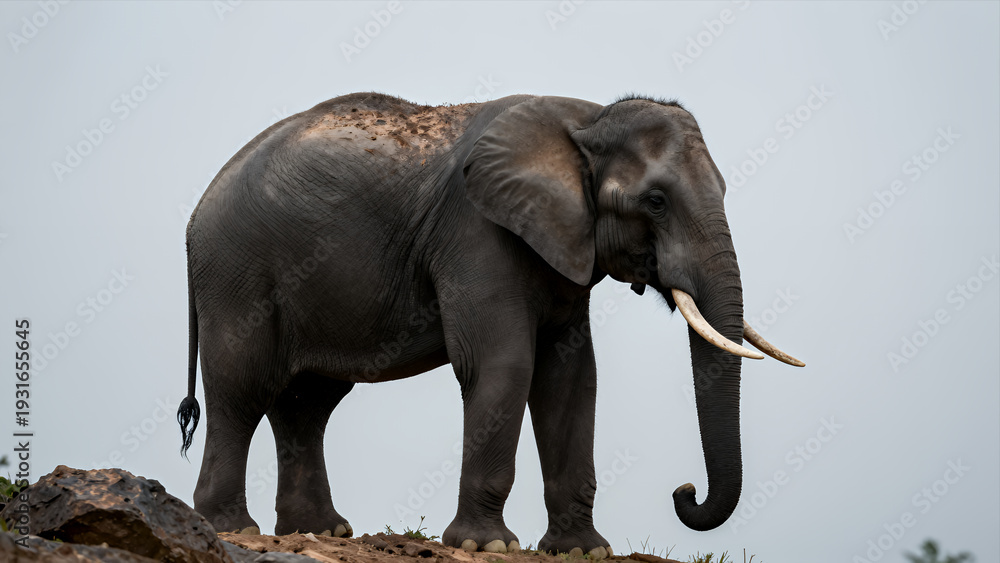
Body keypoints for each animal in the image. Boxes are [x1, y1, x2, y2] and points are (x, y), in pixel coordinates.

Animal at [176, 92, 803, 554]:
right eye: (655, 201)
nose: (683, 491)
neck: (586, 120)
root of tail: (195, 214)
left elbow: (572, 378)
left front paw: (581, 551)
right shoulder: (477, 233)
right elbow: (503, 364)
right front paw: (488, 546)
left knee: (308, 402)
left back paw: (320, 531)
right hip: (237, 273)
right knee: (241, 389)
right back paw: (233, 528)